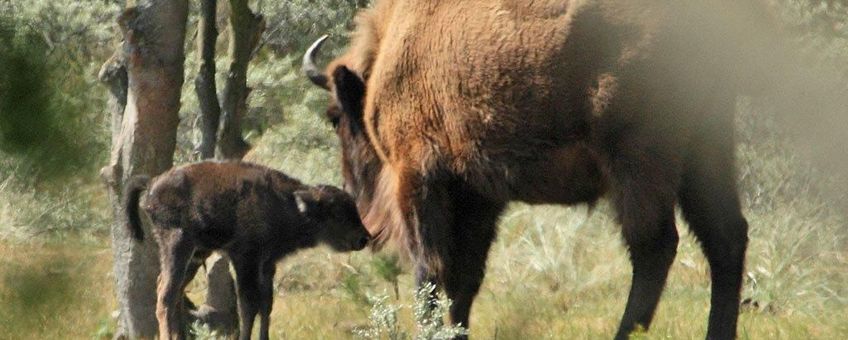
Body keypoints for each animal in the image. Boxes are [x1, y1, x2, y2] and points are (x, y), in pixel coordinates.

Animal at [123, 161, 372, 340]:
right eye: (337, 213)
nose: (364, 238)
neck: (287, 204)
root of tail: (152, 183)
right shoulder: (245, 259)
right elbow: (248, 305)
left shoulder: (267, 264)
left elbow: (266, 304)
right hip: (177, 245)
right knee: (166, 294)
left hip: (196, 254)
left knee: (172, 292)